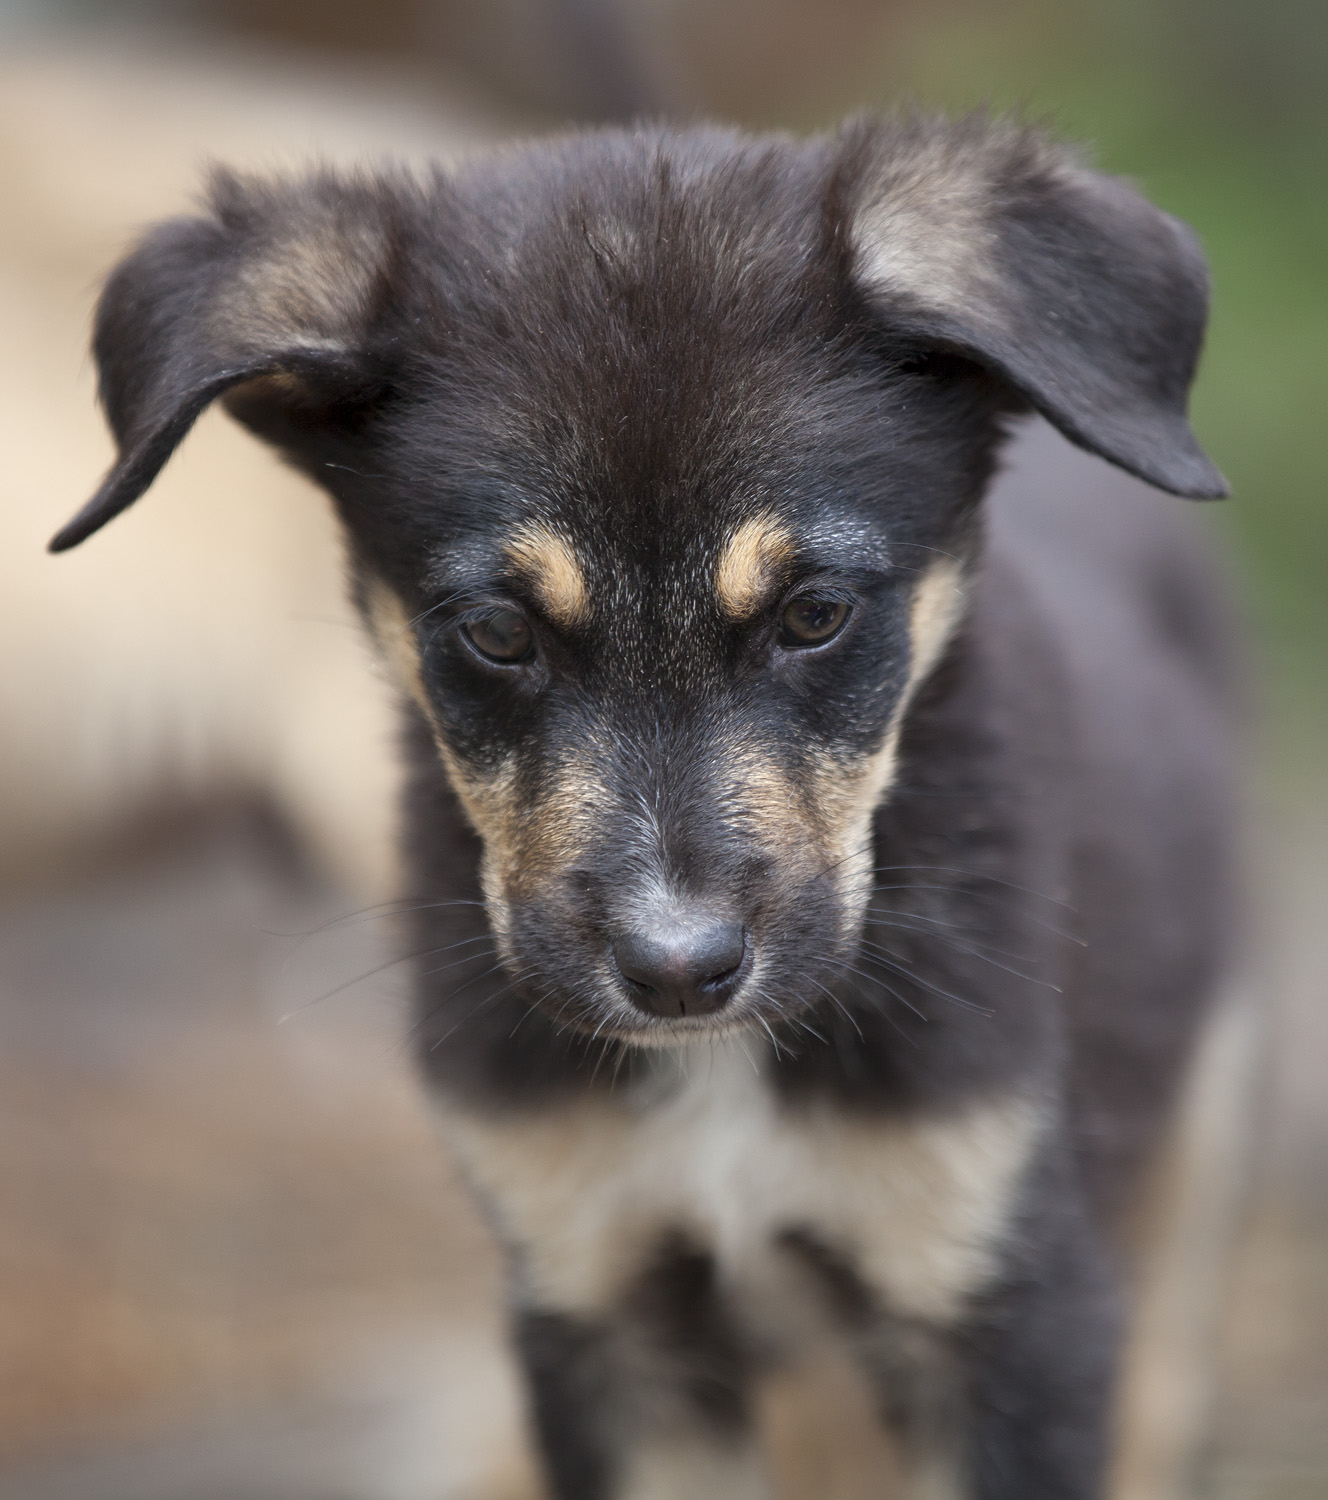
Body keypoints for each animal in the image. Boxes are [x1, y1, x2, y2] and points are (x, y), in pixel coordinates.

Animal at [51, 117, 1230, 1500]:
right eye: (497, 632)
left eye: (814, 613)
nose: (677, 974)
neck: (722, 1077)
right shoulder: (601, 1303)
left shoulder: (1003, 1297)